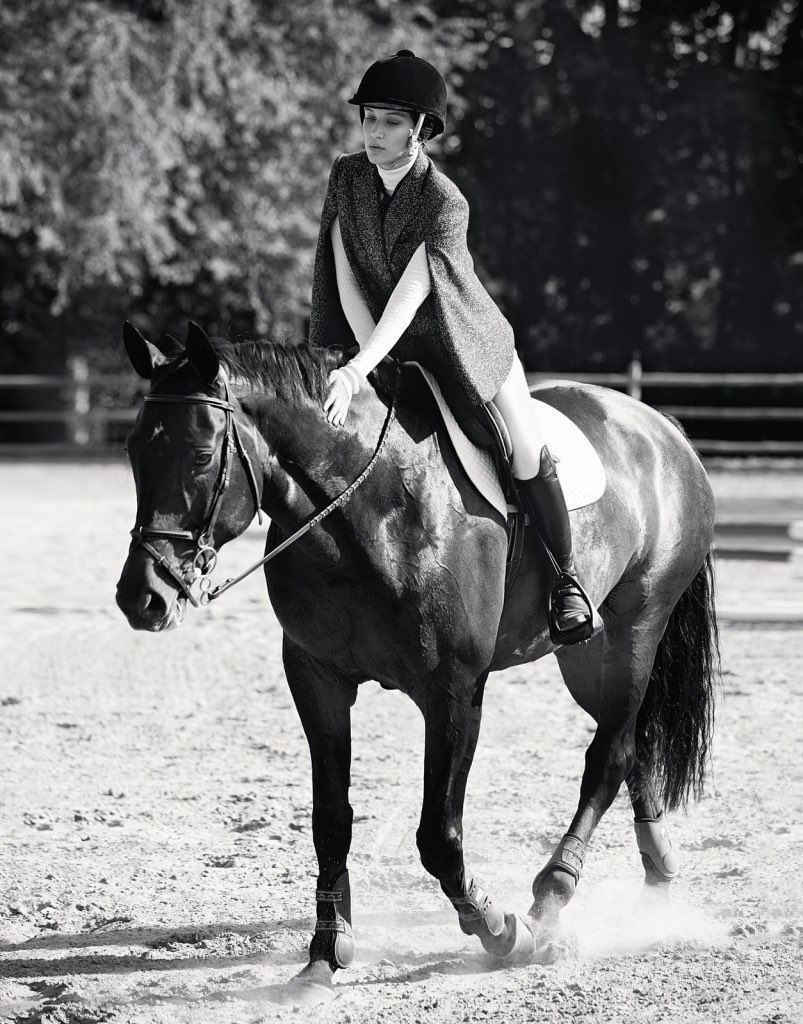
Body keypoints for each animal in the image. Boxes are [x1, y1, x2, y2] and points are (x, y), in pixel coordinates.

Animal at [116, 321, 719, 993]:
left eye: (200, 455)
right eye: (135, 451)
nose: (142, 597)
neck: (367, 510)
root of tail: (662, 428)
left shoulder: (454, 690)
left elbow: (437, 833)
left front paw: (499, 929)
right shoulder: (317, 680)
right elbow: (331, 819)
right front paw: (326, 950)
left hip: (634, 631)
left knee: (609, 757)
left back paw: (550, 900)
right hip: (586, 659)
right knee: (631, 742)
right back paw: (659, 871)